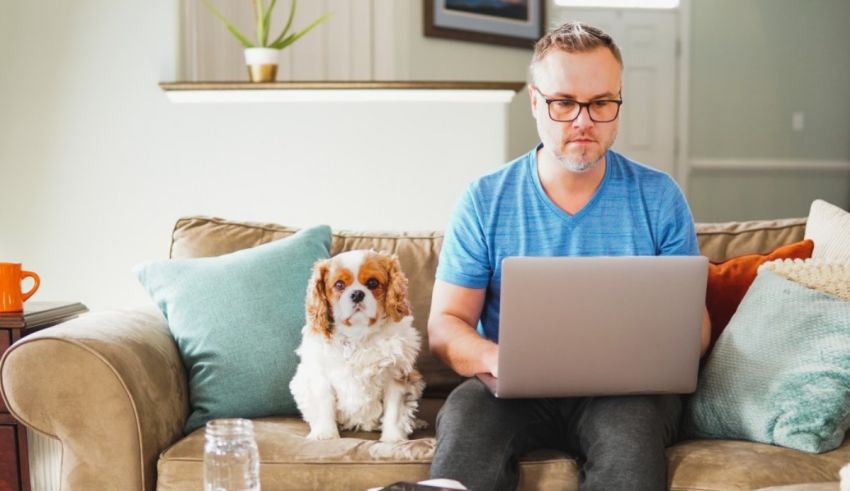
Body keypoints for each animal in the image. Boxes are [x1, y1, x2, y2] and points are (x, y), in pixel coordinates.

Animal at [290, 250, 424, 442]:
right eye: (339, 285)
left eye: (373, 283)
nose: (357, 294)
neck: (358, 335)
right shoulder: (321, 376)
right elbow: (324, 405)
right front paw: (325, 434)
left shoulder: (395, 376)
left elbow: (394, 411)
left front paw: (393, 438)